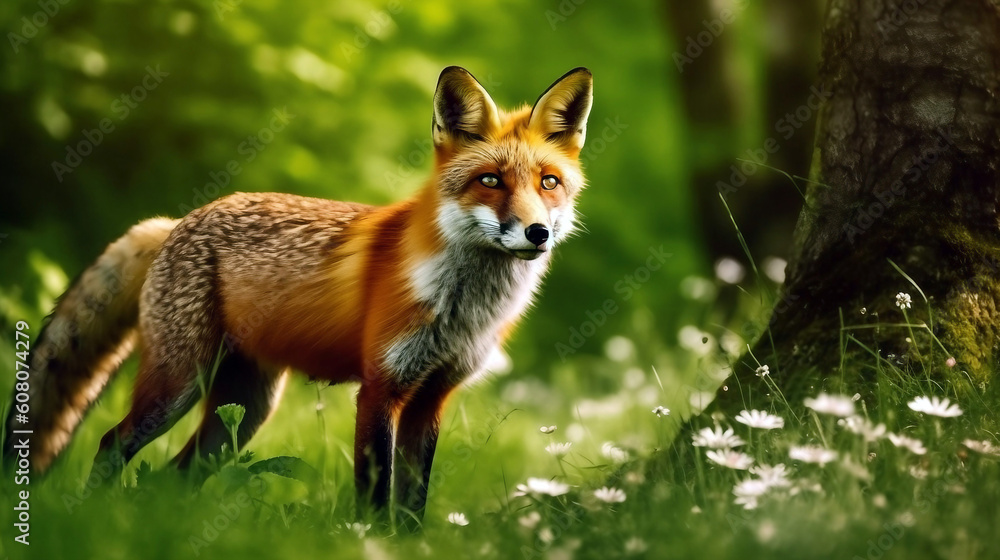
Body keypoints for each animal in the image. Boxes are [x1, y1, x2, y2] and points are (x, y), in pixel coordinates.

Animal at [3, 66, 593, 522]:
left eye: (548, 182)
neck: (463, 307)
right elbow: (374, 497)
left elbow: (413, 504)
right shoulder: (380, 388)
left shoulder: (432, 397)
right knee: (111, 445)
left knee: (173, 477)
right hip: (178, 386)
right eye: (491, 181)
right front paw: (370, 542)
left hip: (244, 412)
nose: (537, 233)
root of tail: (176, 222)